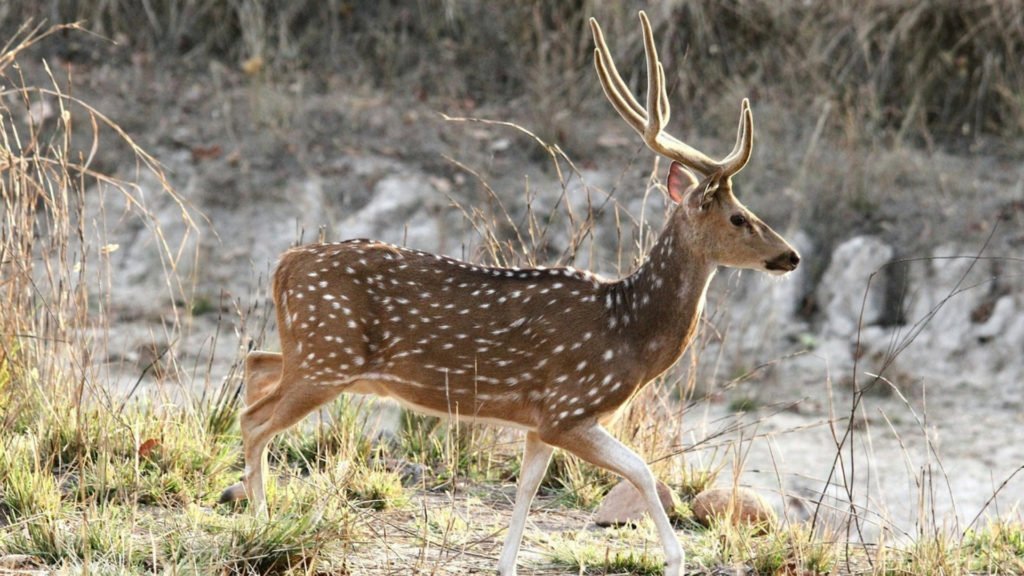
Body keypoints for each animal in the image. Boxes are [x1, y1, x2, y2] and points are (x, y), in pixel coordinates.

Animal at [222, 10, 798, 573]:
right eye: (739, 217)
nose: (791, 255)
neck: (630, 332)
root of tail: (285, 263)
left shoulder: (539, 423)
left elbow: (527, 489)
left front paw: (506, 563)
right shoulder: (569, 406)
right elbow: (641, 470)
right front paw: (676, 560)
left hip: (316, 353)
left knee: (257, 363)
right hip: (328, 358)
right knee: (254, 421)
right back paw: (262, 521)